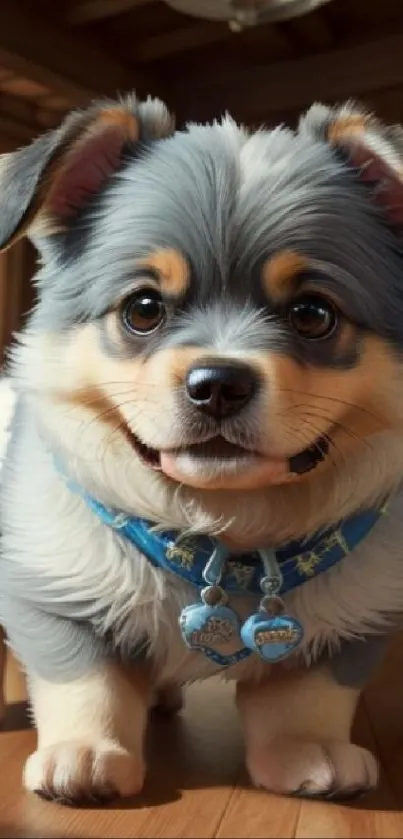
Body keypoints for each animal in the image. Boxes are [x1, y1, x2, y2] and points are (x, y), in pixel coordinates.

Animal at [0, 90, 403, 800]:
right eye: (143, 308)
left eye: (313, 314)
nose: (218, 384)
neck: (223, 535)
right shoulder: (51, 586)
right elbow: (87, 678)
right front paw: (85, 754)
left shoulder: (356, 618)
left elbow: (308, 696)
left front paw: (309, 752)